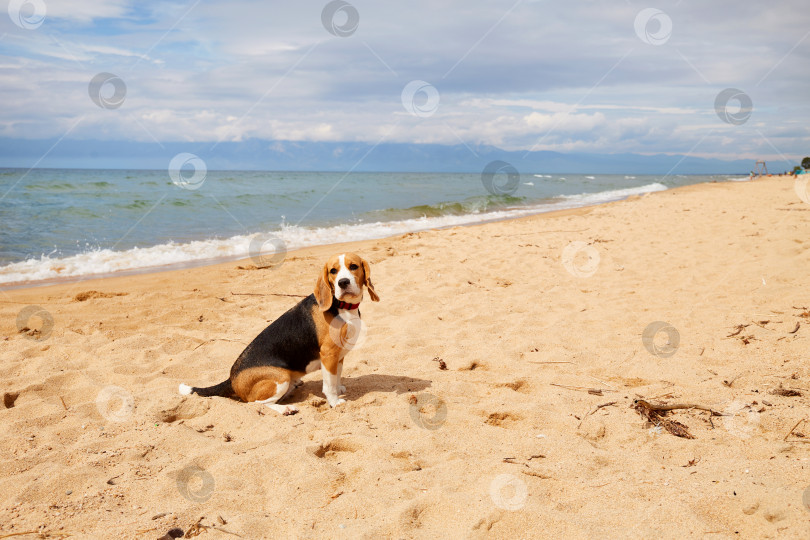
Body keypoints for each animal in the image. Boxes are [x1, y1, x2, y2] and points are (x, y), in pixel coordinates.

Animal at [178, 252, 378, 414]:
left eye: (354, 266)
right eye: (333, 271)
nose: (343, 283)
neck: (343, 306)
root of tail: (231, 379)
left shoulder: (338, 356)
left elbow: (336, 377)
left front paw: (339, 389)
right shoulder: (329, 354)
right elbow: (329, 385)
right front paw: (334, 401)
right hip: (280, 378)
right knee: (256, 403)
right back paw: (285, 409)